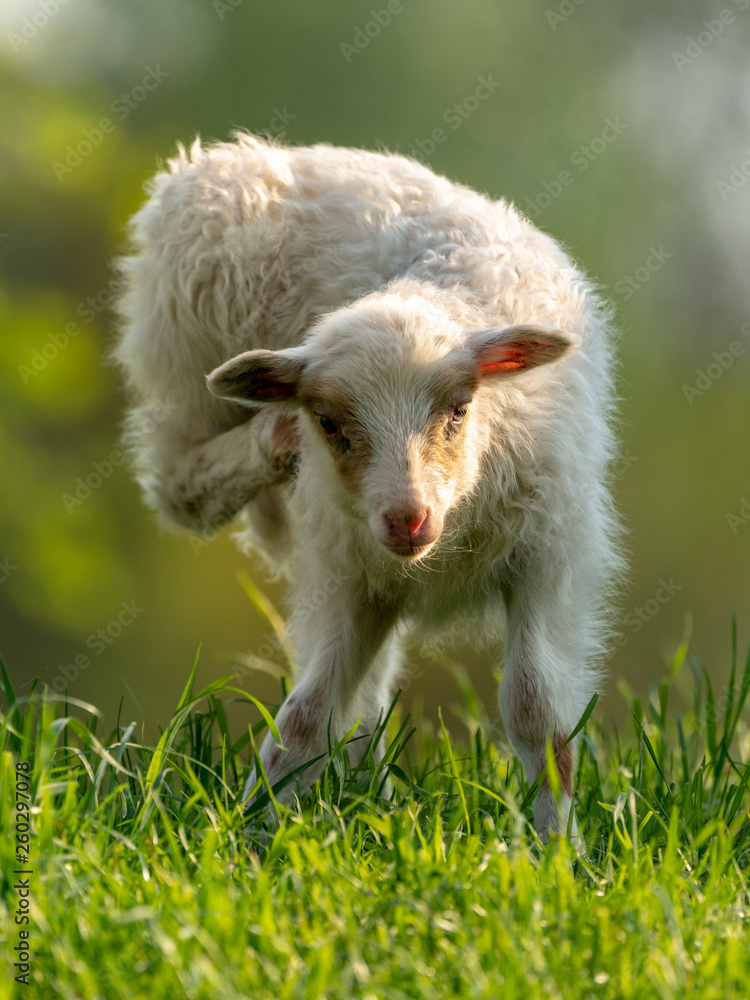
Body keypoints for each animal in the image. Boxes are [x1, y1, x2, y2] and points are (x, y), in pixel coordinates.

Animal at [114, 132, 623, 839]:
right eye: (330, 422)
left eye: (458, 409)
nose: (407, 518)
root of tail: (295, 150)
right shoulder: (347, 576)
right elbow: (301, 722)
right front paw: (252, 838)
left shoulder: (551, 559)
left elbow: (535, 714)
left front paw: (555, 847)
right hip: (183, 366)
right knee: (179, 482)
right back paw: (272, 435)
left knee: (369, 701)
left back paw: (370, 795)